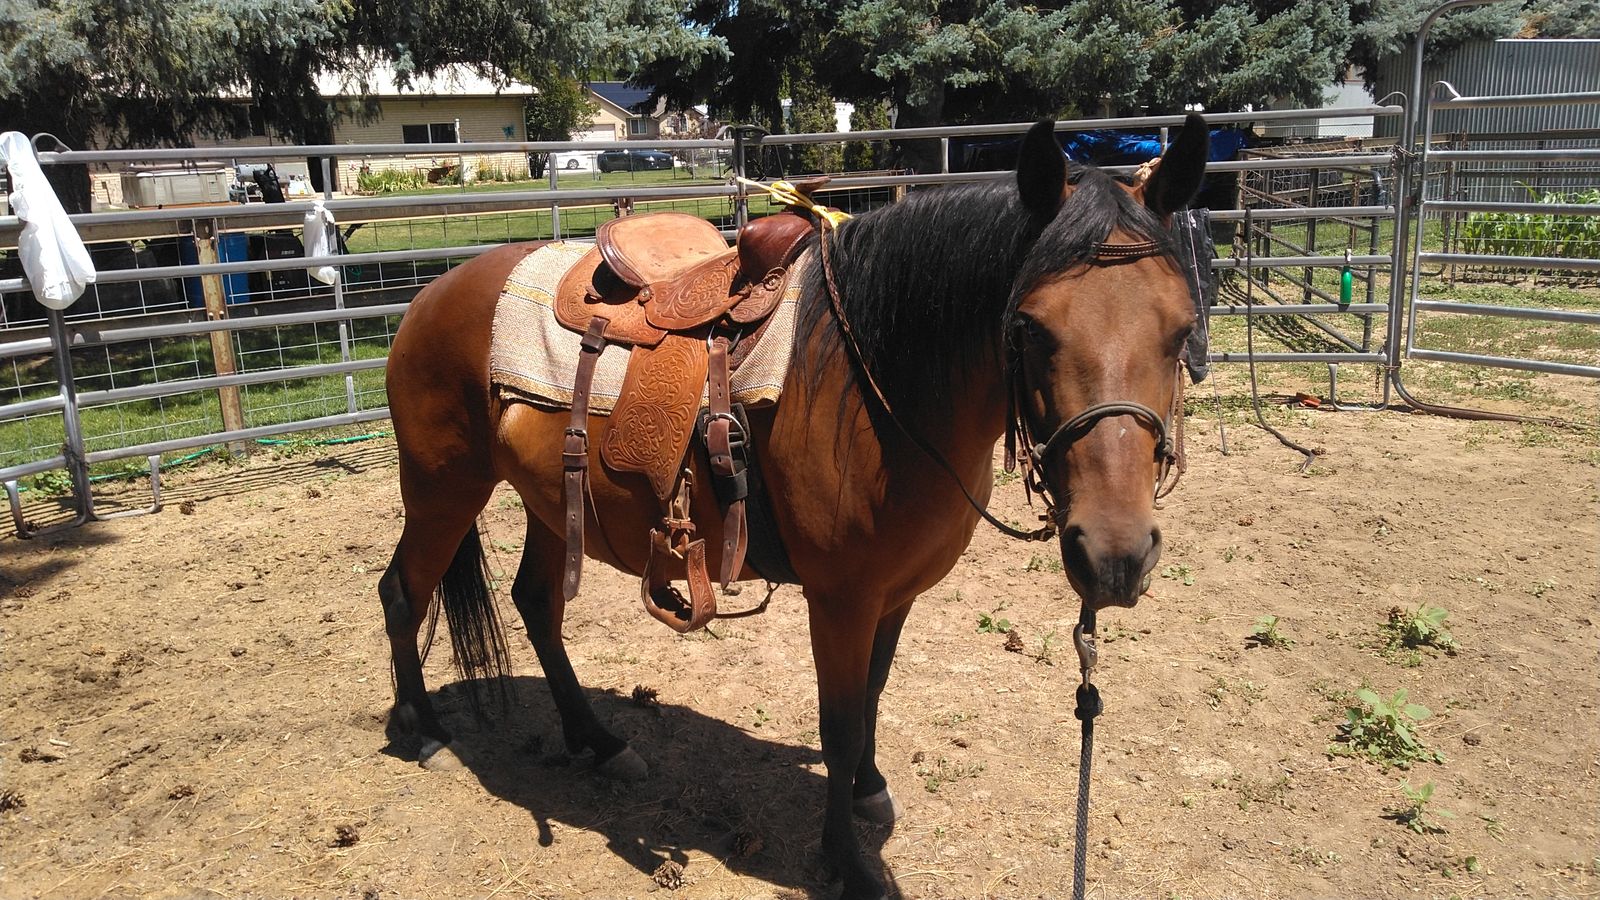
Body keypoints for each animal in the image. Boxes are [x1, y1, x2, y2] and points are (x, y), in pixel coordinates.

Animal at [377, 115, 1209, 900]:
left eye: (1182, 329)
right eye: (1029, 328)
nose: (1114, 557)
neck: (874, 380)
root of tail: (430, 295)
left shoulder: (895, 595)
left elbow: (870, 698)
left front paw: (869, 792)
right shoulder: (840, 599)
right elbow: (838, 725)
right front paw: (849, 863)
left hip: (549, 502)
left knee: (537, 604)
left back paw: (599, 742)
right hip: (443, 486)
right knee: (403, 593)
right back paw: (427, 735)